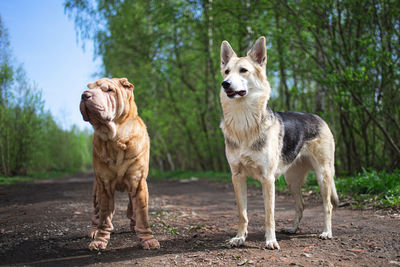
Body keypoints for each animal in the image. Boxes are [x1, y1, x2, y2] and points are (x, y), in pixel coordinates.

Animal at [79, 77, 159, 251]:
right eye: (89, 88)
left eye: (109, 90)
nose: (85, 95)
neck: (116, 138)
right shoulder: (104, 184)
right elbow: (104, 217)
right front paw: (100, 240)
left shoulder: (137, 181)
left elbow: (142, 213)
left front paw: (148, 239)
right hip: (96, 191)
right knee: (98, 214)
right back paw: (94, 231)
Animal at [219, 36, 338, 250]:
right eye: (226, 71)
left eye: (243, 70)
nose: (225, 84)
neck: (244, 124)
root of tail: (318, 117)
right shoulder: (237, 177)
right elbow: (242, 214)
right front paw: (240, 237)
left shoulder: (267, 179)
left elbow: (269, 216)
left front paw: (270, 241)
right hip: (292, 180)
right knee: (301, 205)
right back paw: (293, 229)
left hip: (323, 176)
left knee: (328, 206)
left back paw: (326, 232)